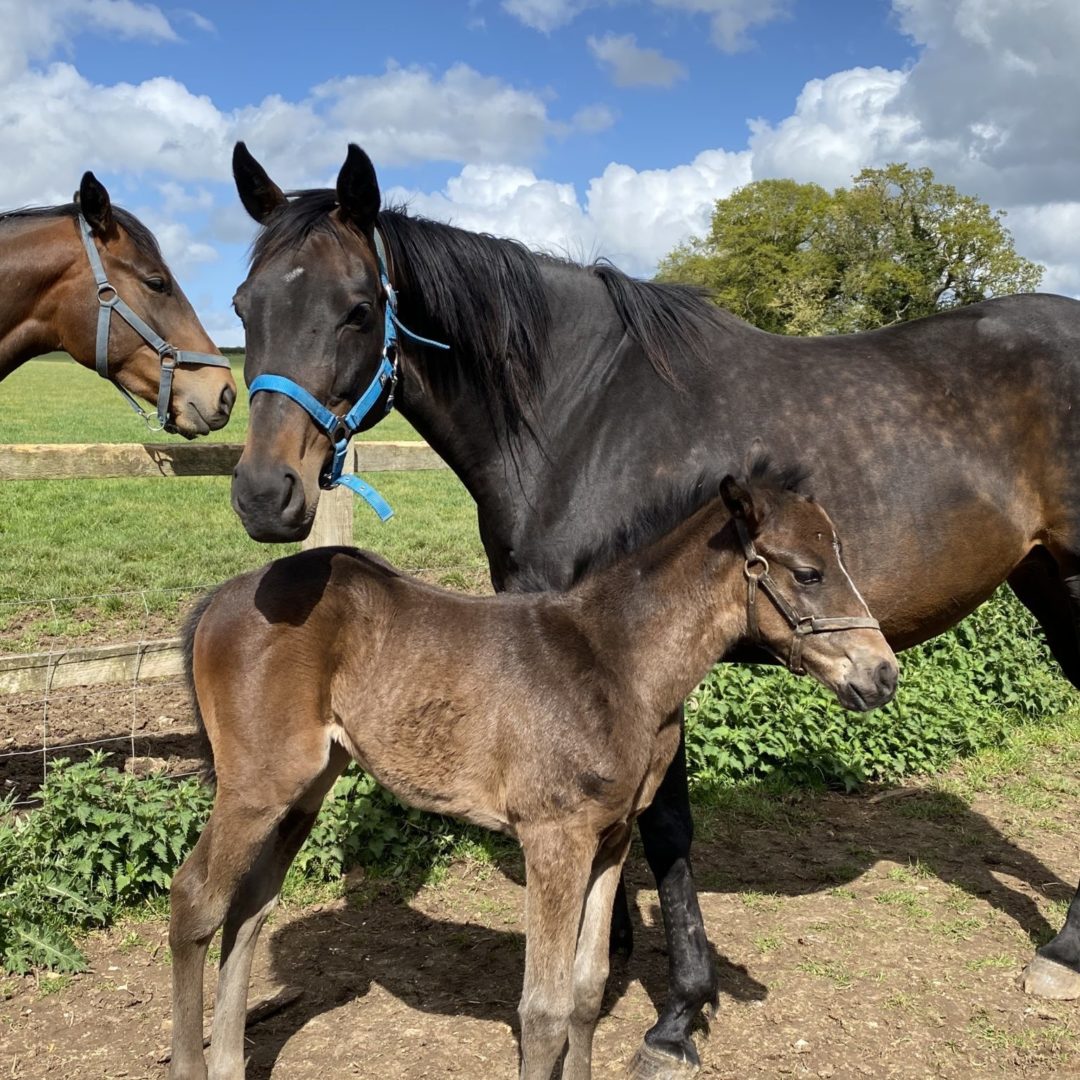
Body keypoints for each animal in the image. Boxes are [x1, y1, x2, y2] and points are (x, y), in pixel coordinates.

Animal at [168, 466, 894, 1080]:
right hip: (255, 787)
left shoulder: (612, 838)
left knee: (250, 906)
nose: (883, 673)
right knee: (197, 899)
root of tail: (222, 597)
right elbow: (543, 1011)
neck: (621, 665)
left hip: (306, 789)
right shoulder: (554, 839)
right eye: (807, 572)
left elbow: (587, 989)